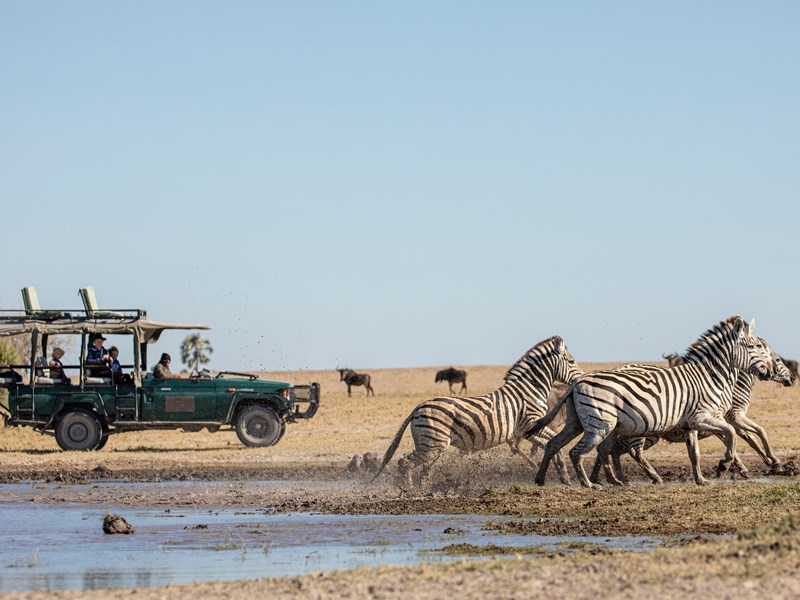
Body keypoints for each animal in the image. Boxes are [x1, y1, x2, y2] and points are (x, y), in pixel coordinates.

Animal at [368, 338, 580, 488]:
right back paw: (408, 491)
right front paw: (561, 475)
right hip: (432, 445)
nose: (580, 379)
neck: (528, 390)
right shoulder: (530, 426)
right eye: (571, 361)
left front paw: (564, 477)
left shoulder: (529, 430)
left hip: (432, 445)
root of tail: (418, 407)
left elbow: (554, 444)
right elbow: (553, 442)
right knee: (404, 463)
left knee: (420, 470)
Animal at [588, 340, 792, 486]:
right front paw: (772, 462)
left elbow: (742, 438)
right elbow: (755, 434)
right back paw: (641, 478)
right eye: (778, 360)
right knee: (626, 450)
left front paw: (746, 465)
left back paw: (601, 478)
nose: (790, 379)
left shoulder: (722, 421)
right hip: (643, 430)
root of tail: (618, 369)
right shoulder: (735, 417)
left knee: (609, 448)